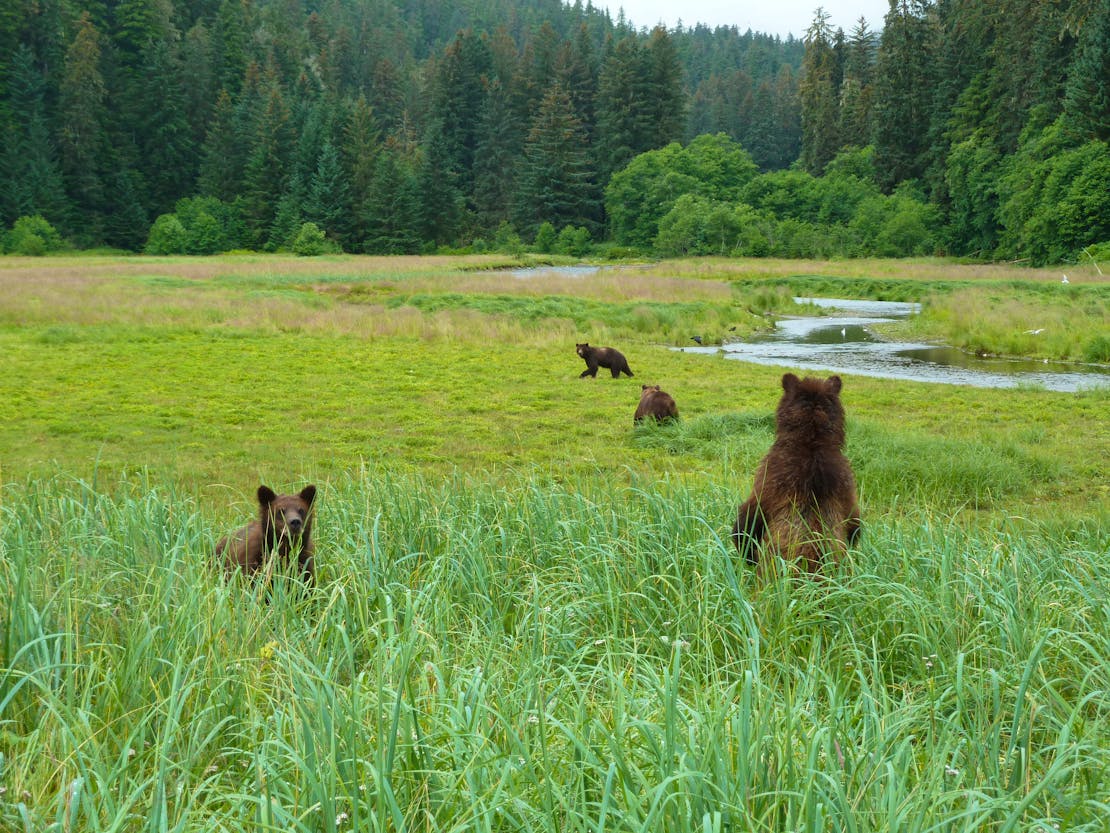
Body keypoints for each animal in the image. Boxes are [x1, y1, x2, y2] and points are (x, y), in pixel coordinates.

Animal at [732, 375, 861, 577]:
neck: (812, 440)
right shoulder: (845, 484)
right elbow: (854, 523)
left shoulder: (768, 480)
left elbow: (747, 522)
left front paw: (747, 554)